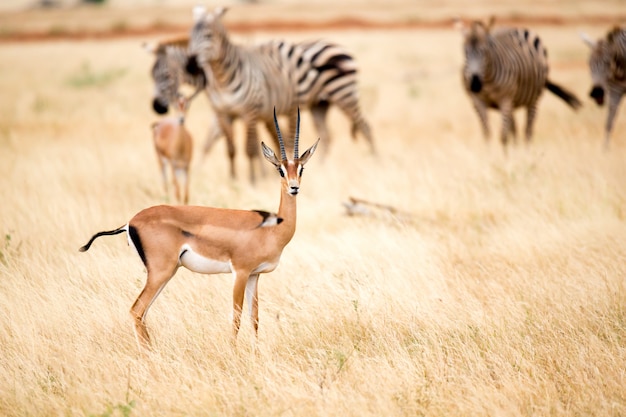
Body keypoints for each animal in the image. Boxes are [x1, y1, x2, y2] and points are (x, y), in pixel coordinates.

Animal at [185, 4, 376, 180]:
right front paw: (231, 178)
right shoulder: (224, 113)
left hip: (343, 93)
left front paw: (253, 180)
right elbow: (225, 146)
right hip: (320, 104)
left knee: (364, 126)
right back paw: (321, 168)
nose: (191, 66)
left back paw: (376, 161)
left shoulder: (250, 111)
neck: (222, 79)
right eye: (190, 37)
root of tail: (335, 44)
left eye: (208, 36)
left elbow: (249, 147)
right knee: (326, 136)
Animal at [458, 17, 580, 148]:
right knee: (514, 129)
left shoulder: (505, 99)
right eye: (465, 52)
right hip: (513, 102)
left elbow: (503, 136)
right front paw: (489, 151)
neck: (487, 82)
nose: (475, 84)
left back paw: (526, 150)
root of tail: (515, 28)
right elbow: (487, 134)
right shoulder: (477, 101)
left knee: (528, 130)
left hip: (533, 99)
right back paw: (516, 148)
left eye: (485, 51)